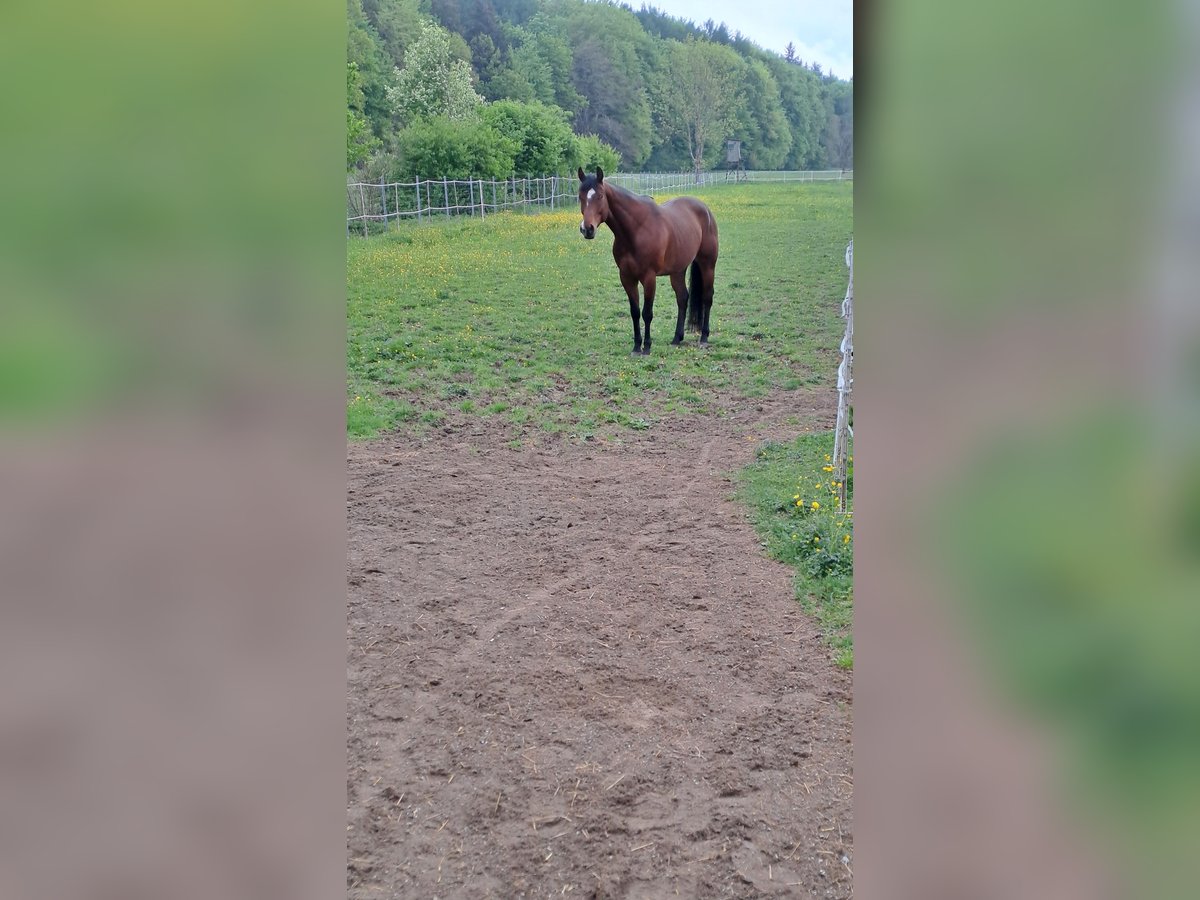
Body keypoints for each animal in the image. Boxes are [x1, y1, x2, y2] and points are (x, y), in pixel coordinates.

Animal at [577, 167, 718, 355]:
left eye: (600, 196)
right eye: (580, 196)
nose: (587, 229)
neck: (637, 230)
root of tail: (705, 209)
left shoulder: (649, 278)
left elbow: (647, 313)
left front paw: (647, 346)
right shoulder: (627, 277)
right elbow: (635, 312)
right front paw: (637, 346)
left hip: (707, 265)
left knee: (707, 297)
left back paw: (704, 337)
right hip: (677, 271)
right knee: (682, 298)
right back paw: (676, 338)